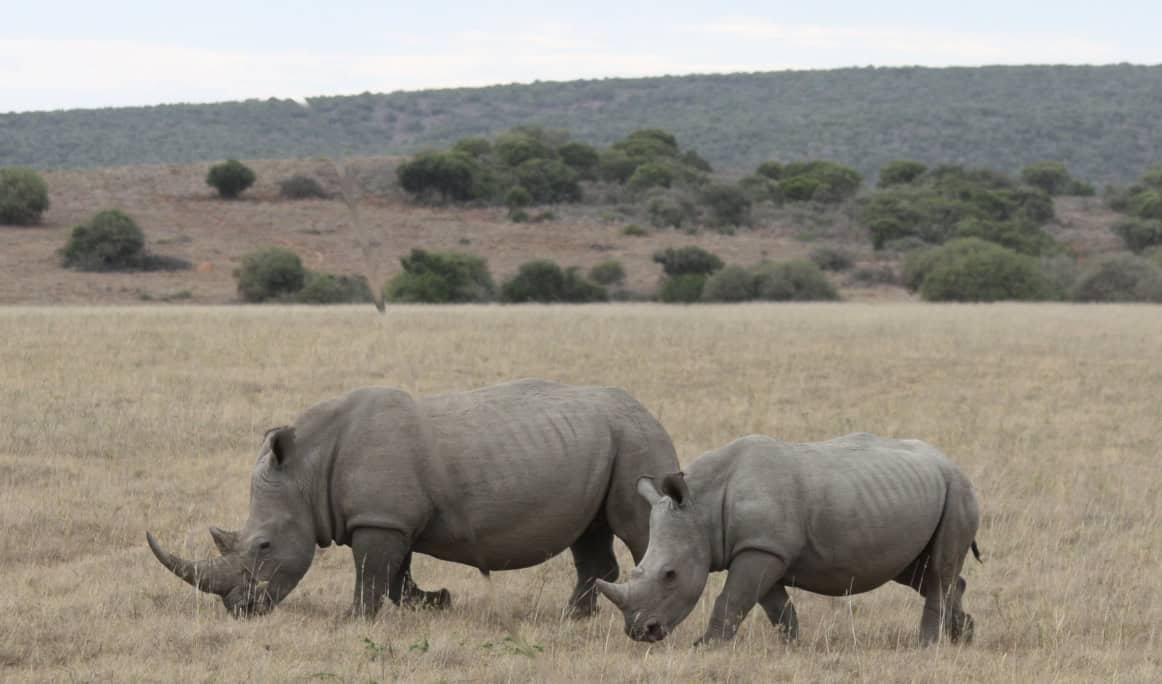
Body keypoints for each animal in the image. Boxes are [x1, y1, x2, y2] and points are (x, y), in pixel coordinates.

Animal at [147, 378, 678, 619]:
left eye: (263, 546)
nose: (239, 609)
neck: (308, 470)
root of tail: (649, 412)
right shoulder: (390, 519)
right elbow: (395, 574)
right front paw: (437, 602)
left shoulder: (379, 519)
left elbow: (371, 573)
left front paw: (355, 620)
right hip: (608, 443)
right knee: (590, 536)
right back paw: (572, 620)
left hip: (636, 441)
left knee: (640, 529)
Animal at [595, 433, 982, 646]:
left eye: (670, 575)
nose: (640, 632)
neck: (701, 507)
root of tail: (951, 462)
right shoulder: (764, 548)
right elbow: (774, 605)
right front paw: (792, 645)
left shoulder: (761, 547)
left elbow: (732, 600)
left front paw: (705, 646)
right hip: (915, 492)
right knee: (920, 572)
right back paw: (962, 635)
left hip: (958, 491)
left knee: (939, 570)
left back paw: (925, 645)